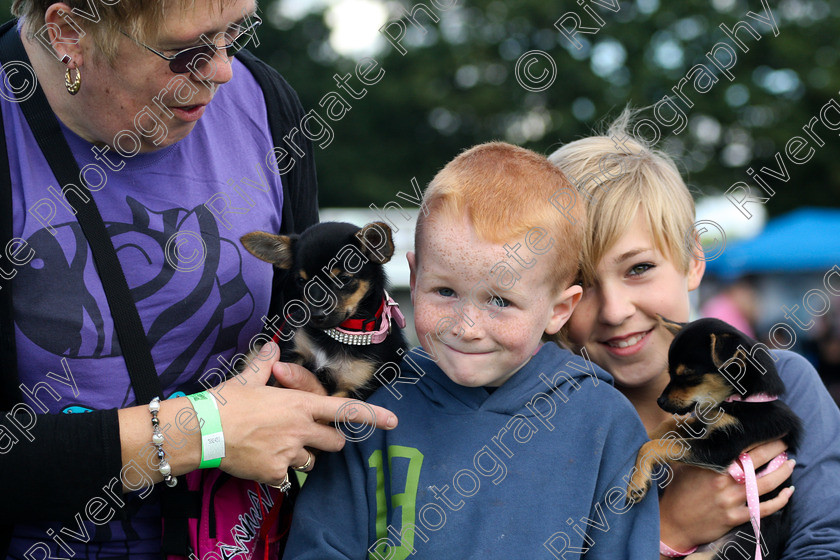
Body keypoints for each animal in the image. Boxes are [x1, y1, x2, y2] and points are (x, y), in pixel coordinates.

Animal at [240, 221, 406, 400]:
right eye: (301, 281)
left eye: (344, 279)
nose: (315, 315)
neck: (337, 337)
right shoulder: (291, 354)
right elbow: (276, 385)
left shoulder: (355, 387)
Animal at [632, 318, 800, 556]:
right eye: (670, 374)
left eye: (688, 375)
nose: (660, 402)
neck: (737, 401)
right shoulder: (702, 425)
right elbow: (667, 426)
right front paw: (643, 433)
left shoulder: (722, 447)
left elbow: (657, 447)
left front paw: (636, 482)